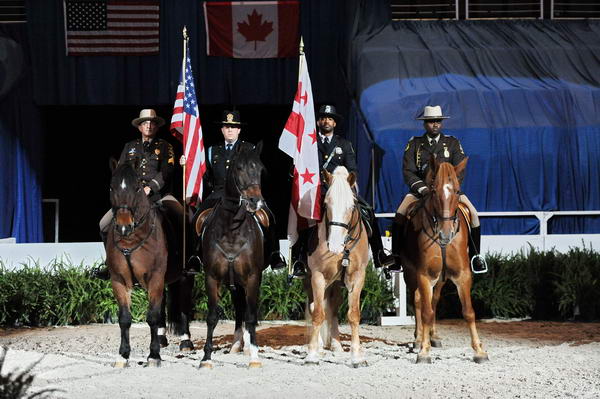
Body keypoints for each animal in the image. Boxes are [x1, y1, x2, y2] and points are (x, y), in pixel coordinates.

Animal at [105, 162, 195, 368]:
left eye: (137, 187)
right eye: (112, 187)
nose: (124, 227)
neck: (131, 240)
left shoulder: (155, 277)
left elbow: (152, 316)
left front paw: (153, 356)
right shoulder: (119, 280)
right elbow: (125, 318)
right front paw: (123, 355)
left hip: (185, 276)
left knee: (184, 306)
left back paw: (185, 341)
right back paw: (161, 338)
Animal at [199, 143, 264, 368]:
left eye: (260, 169)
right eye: (239, 168)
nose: (254, 201)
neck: (232, 229)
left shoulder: (253, 277)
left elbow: (251, 316)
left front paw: (254, 357)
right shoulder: (211, 277)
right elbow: (212, 317)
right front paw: (206, 358)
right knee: (238, 307)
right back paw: (237, 345)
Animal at [304, 166, 370, 368]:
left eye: (352, 205)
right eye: (326, 204)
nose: (334, 245)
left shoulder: (357, 277)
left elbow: (353, 314)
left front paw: (356, 356)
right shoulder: (317, 276)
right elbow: (317, 313)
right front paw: (312, 354)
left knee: (333, 307)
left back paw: (336, 345)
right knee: (315, 307)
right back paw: (319, 346)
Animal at [398, 158, 488, 364]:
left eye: (457, 190)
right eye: (433, 190)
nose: (445, 234)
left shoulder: (462, 275)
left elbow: (468, 311)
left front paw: (479, 350)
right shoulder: (424, 275)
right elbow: (425, 311)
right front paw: (424, 351)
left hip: (441, 278)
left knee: (434, 301)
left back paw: (433, 336)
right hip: (411, 274)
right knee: (418, 301)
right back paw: (418, 339)